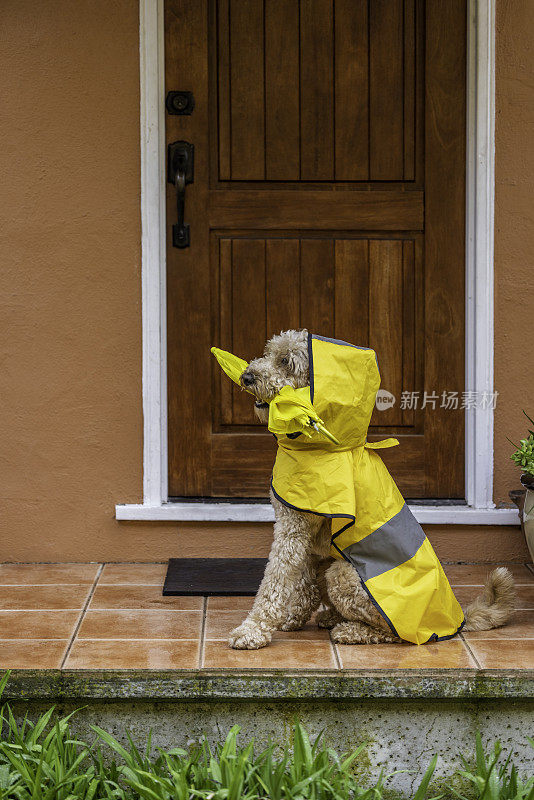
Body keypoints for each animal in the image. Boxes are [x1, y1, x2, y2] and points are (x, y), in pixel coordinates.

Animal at [227, 328, 520, 648]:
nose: (246, 376)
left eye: (285, 362)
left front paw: (252, 630)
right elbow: (301, 580)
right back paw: (331, 617)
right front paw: (292, 618)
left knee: (396, 634)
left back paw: (351, 630)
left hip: (344, 574)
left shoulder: (293, 528)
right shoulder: (303, 533)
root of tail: (454, 620)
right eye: (268, 353)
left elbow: (275, 581)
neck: (322, 446)